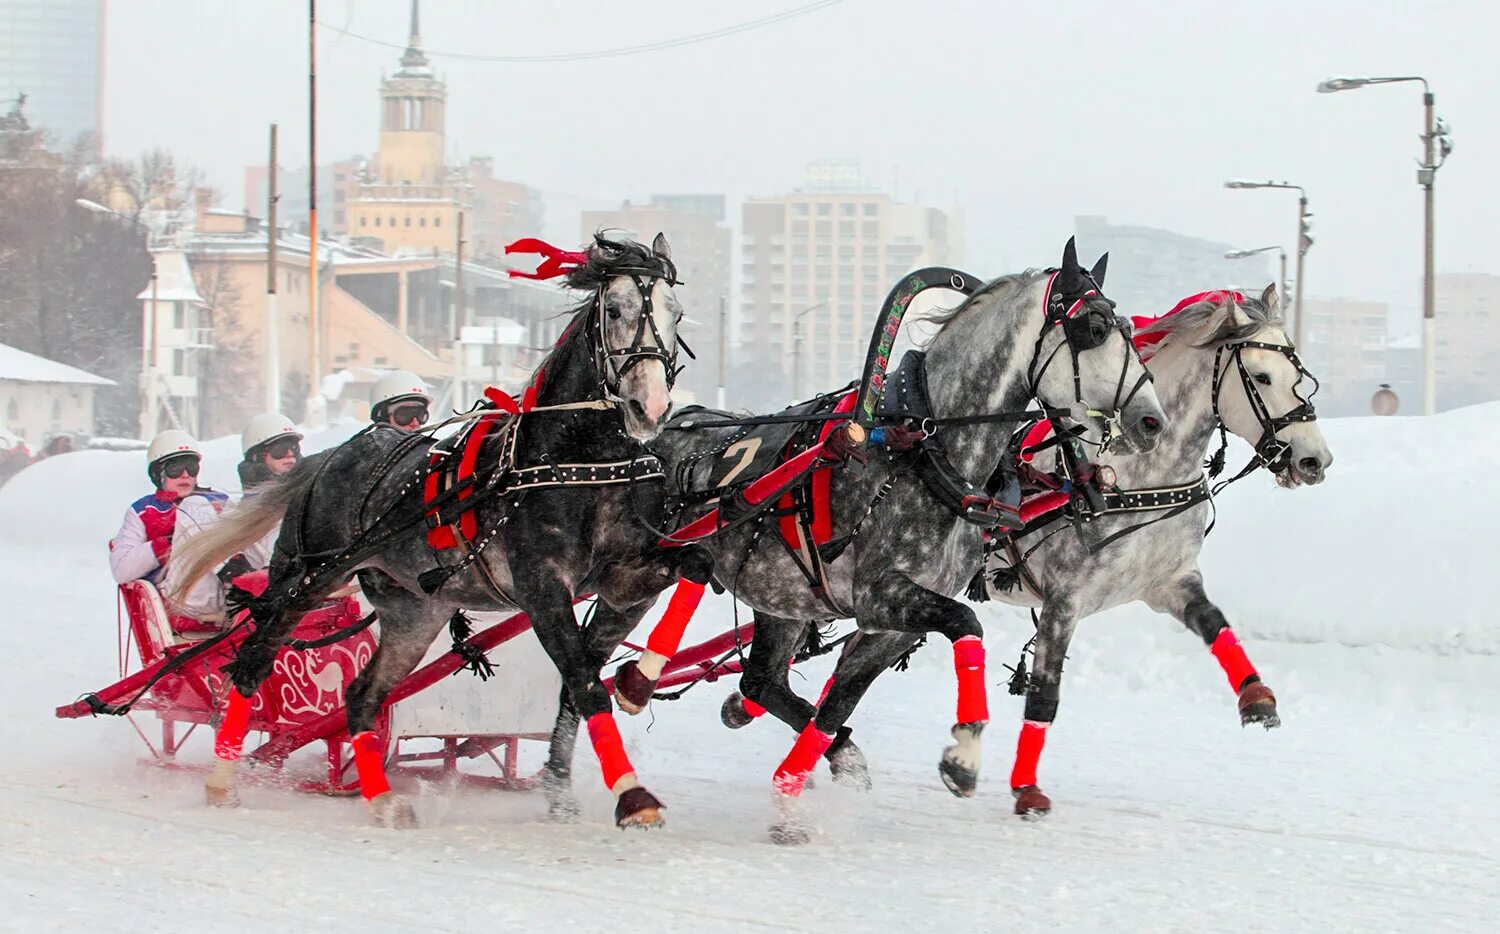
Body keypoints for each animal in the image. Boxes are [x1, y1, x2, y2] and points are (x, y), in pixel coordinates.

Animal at [170, 236, 708, 827]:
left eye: (676, 313)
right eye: (614, 310)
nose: (648, 407)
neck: (577, 462)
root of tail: (328, 458)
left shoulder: (622, 573)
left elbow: (692, 566)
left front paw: (637, 682)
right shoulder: (542, 588)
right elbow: (586, 684)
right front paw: (633, 795)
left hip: (413, 610)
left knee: (362, 694)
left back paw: (382, 798)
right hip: (305, 578)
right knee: (253, 661)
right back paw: (223, 779)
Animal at [633, 239, 1170, 839]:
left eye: (1128, 327)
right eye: (1094, 328)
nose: (1153, 421)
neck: (922, 448)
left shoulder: (886, 623)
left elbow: (838, 706)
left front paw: (794, 793)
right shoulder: (881, 595)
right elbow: (967, 625)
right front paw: (964, 753)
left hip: (780, 597)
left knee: (761, 682)